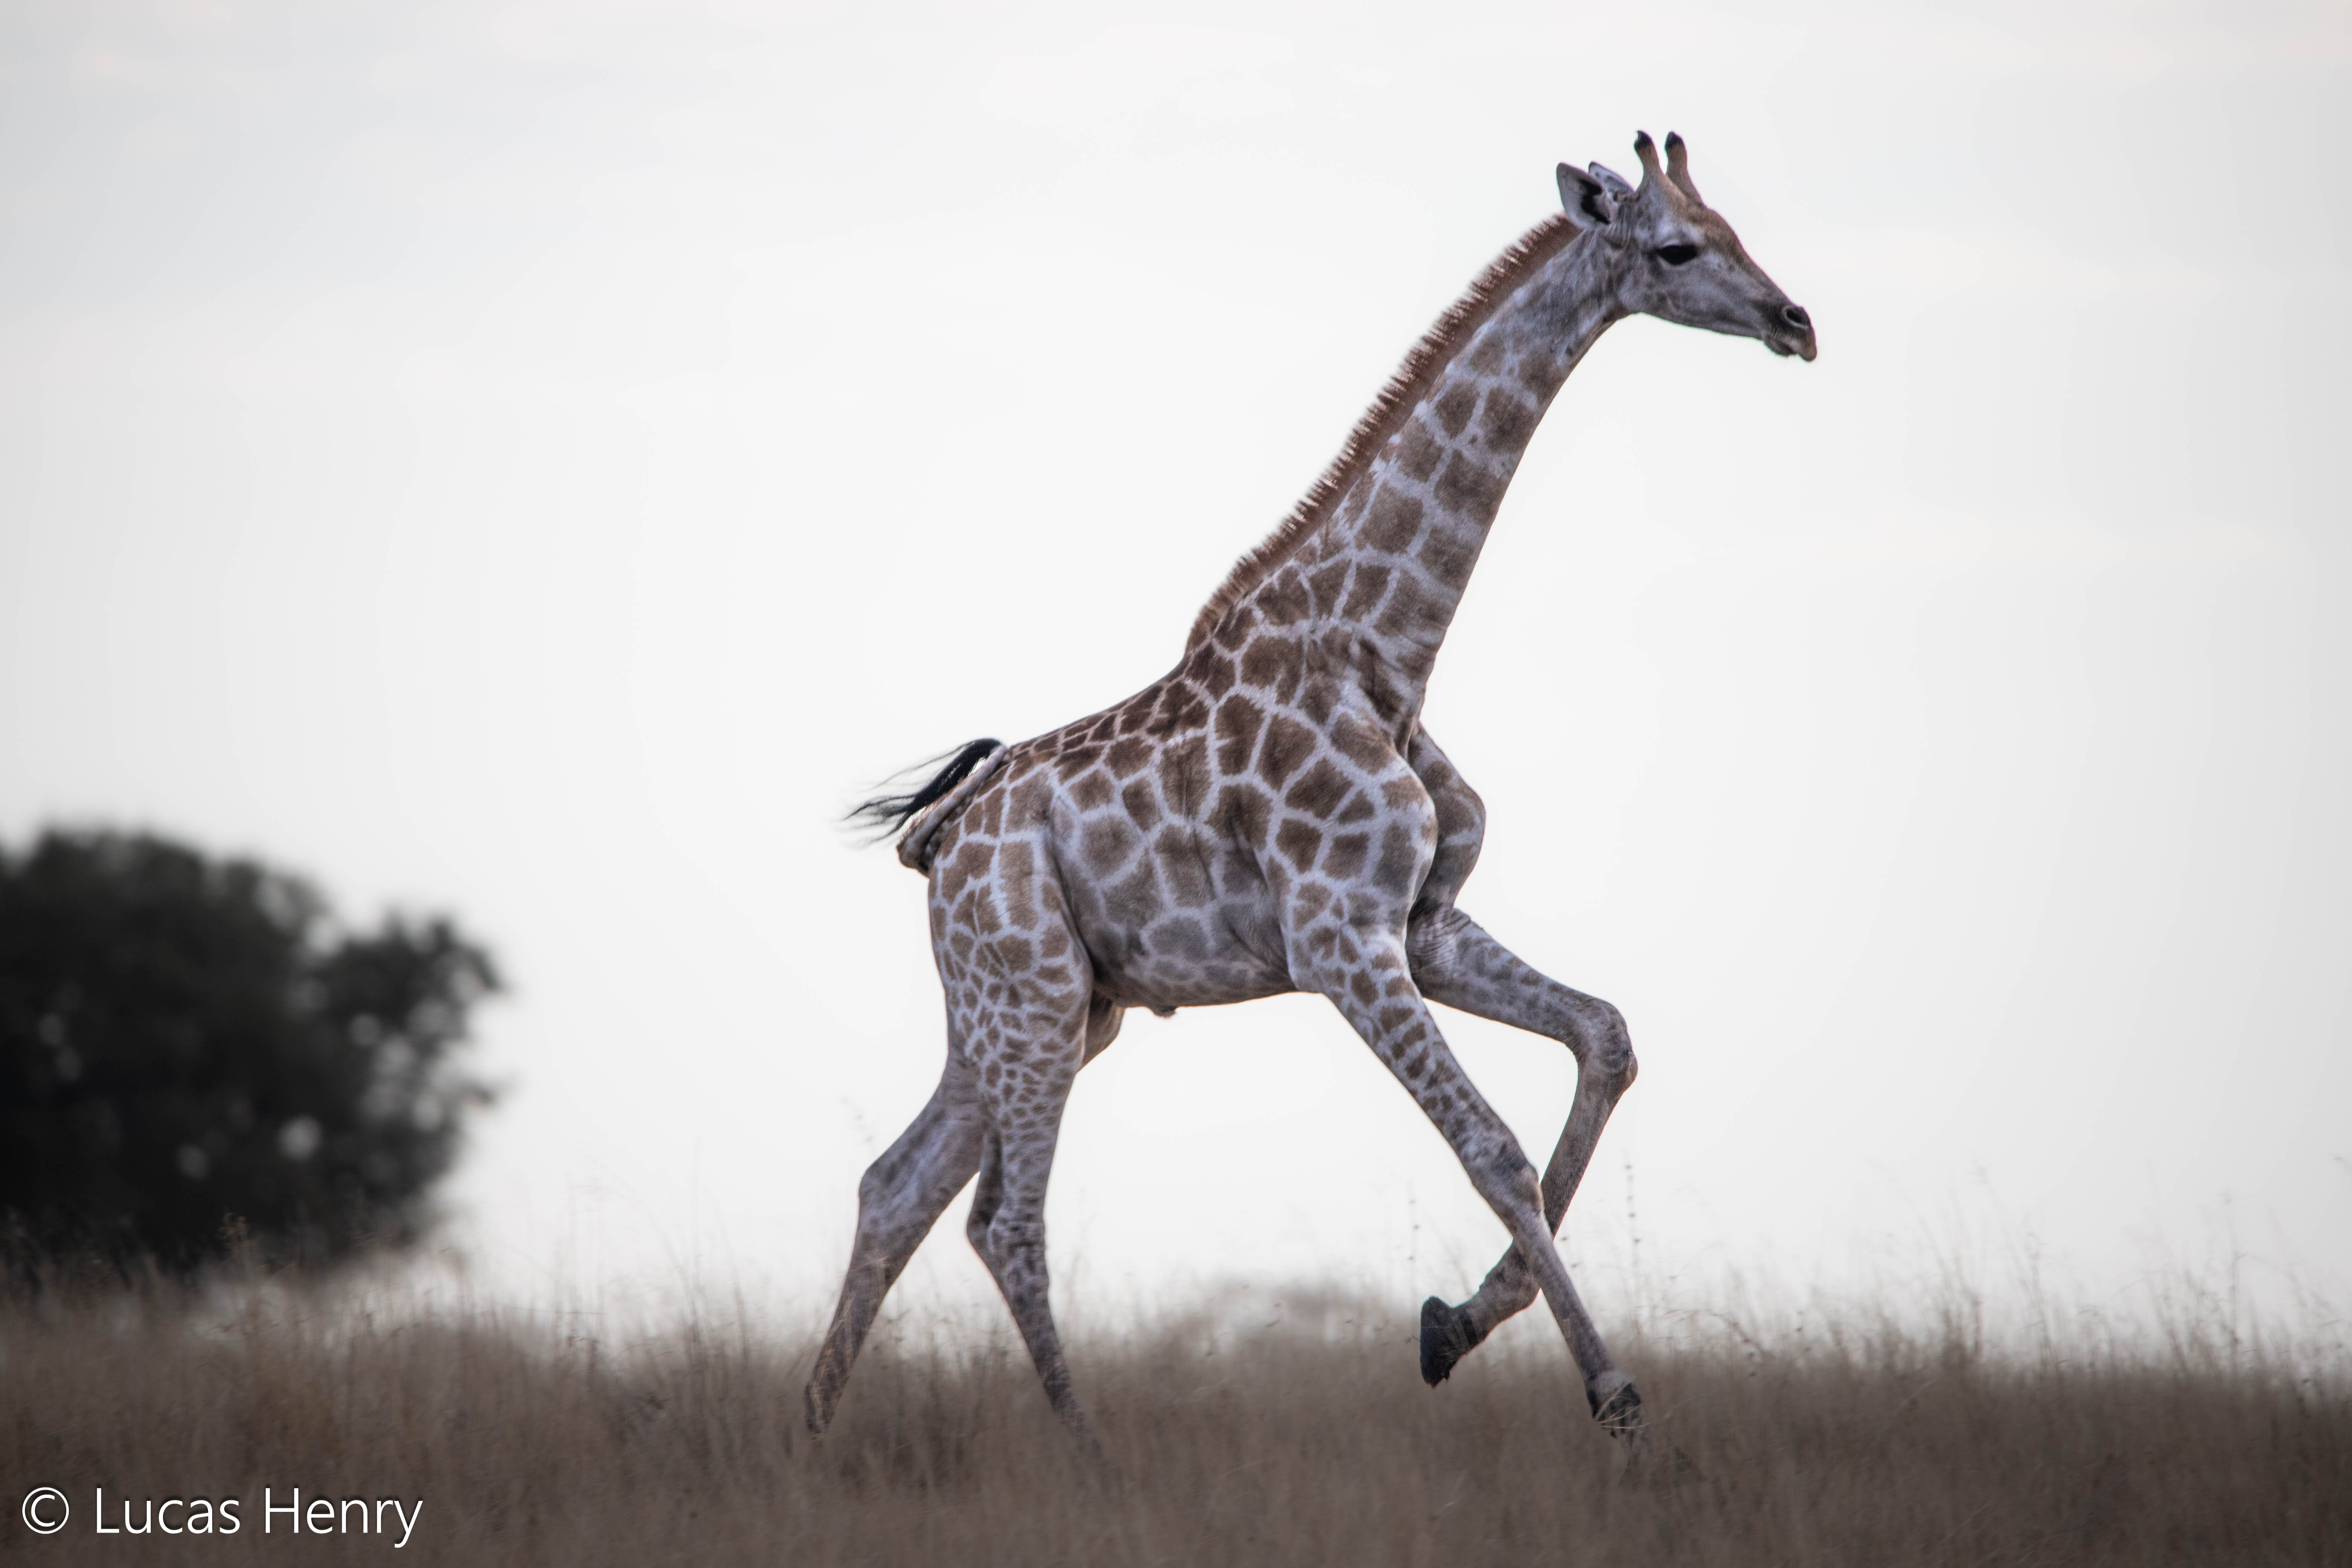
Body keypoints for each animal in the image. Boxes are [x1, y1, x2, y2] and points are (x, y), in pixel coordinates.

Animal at [809, 135, 1816, 1457]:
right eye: (1678, 248)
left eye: (1735, 228)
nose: (1796, 322)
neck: (1382, 647)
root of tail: (938, 844)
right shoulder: (1339, 939)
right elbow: (1492, 1150)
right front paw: (1612, 1396)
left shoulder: (1421, 924)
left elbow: (1605, 1037)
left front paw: (1455, 1325)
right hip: (1028, 996)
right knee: (1003, 1220)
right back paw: (1091, 1458)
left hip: (1053, 1007)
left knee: (898, 1186)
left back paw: (807, 1440)